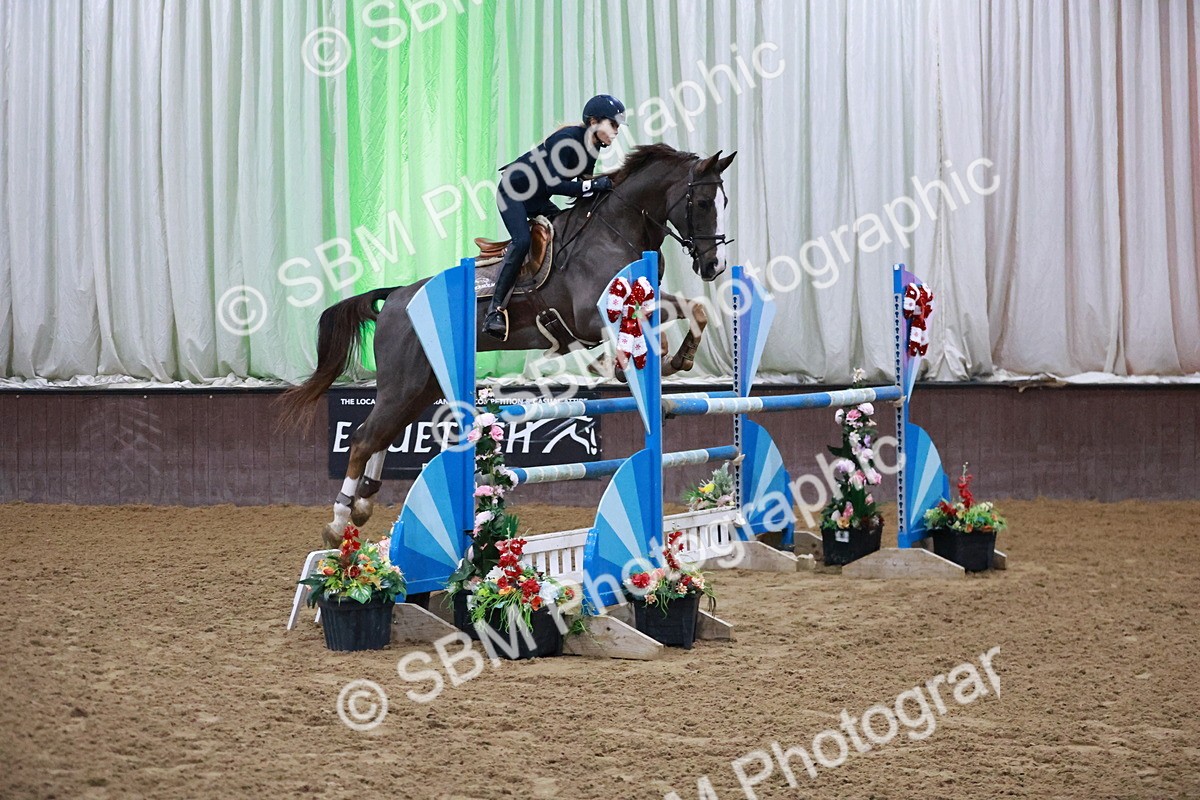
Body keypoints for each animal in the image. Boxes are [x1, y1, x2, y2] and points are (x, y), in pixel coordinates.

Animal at [278, 144, 737, 546]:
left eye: (724, 201)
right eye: (701, 203)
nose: (714, 265)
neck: (617, 230)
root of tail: (394, 297)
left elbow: (694, 309)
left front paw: (680, 360)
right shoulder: (590, 318)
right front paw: (642, 367)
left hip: (421, 385)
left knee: (383, 433)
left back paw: (363, 504)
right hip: (404, 381)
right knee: (363, 437)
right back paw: (339, 521)